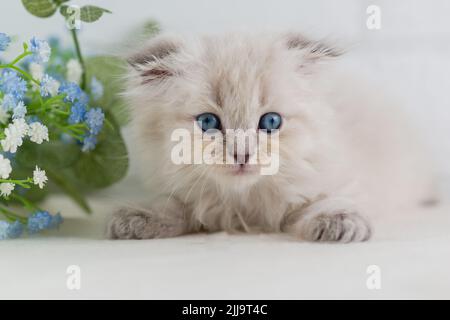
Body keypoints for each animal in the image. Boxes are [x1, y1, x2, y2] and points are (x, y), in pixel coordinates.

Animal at [107, 33, 434, 242]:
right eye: (208, 122)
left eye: (271, 122)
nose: (241, 154)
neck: (244, 202)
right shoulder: (186, 193)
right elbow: (172, 207)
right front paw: (137, 218)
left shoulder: (341, 179)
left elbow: (330, 200)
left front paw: (339, 222)